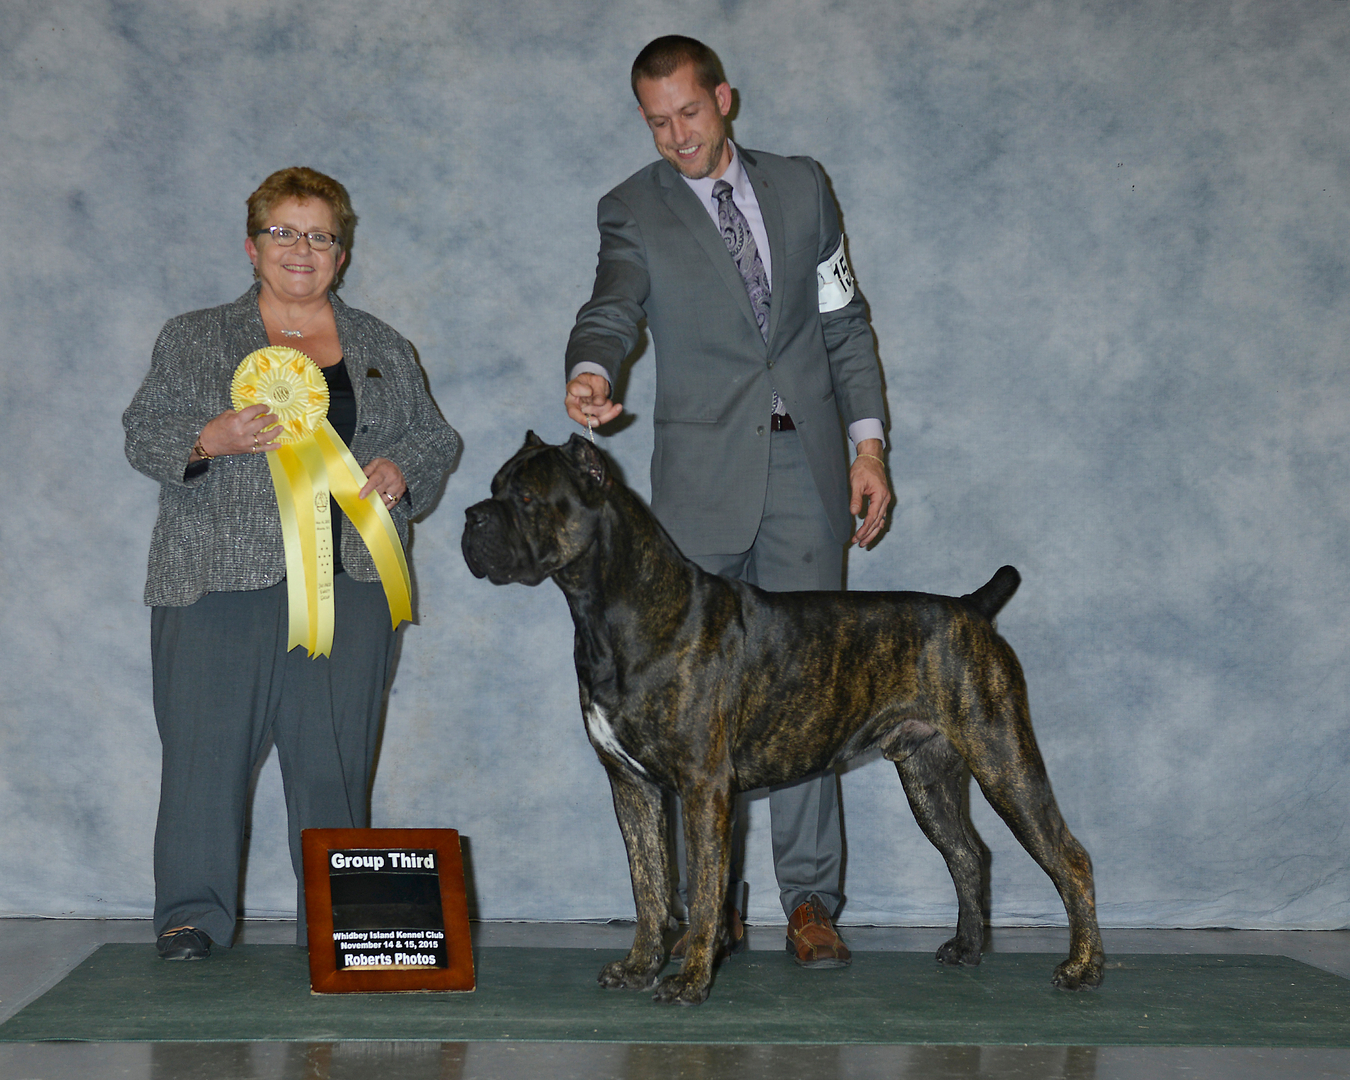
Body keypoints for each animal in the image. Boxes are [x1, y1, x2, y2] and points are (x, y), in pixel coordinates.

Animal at [459, 429, 1101, 1004]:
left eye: (526, 498)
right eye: (493, 486)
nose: (471, 517)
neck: (614, 608)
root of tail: (970, 608)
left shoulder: (704, 787)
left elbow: (704, 889)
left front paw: (690, 981)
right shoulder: (632, 787)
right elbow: (649, 885)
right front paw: (640, 967)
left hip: (1004, 760)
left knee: (1069, 856)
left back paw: (1082, 969)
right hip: (928, 776)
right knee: (967, 853)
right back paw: (967, 950)